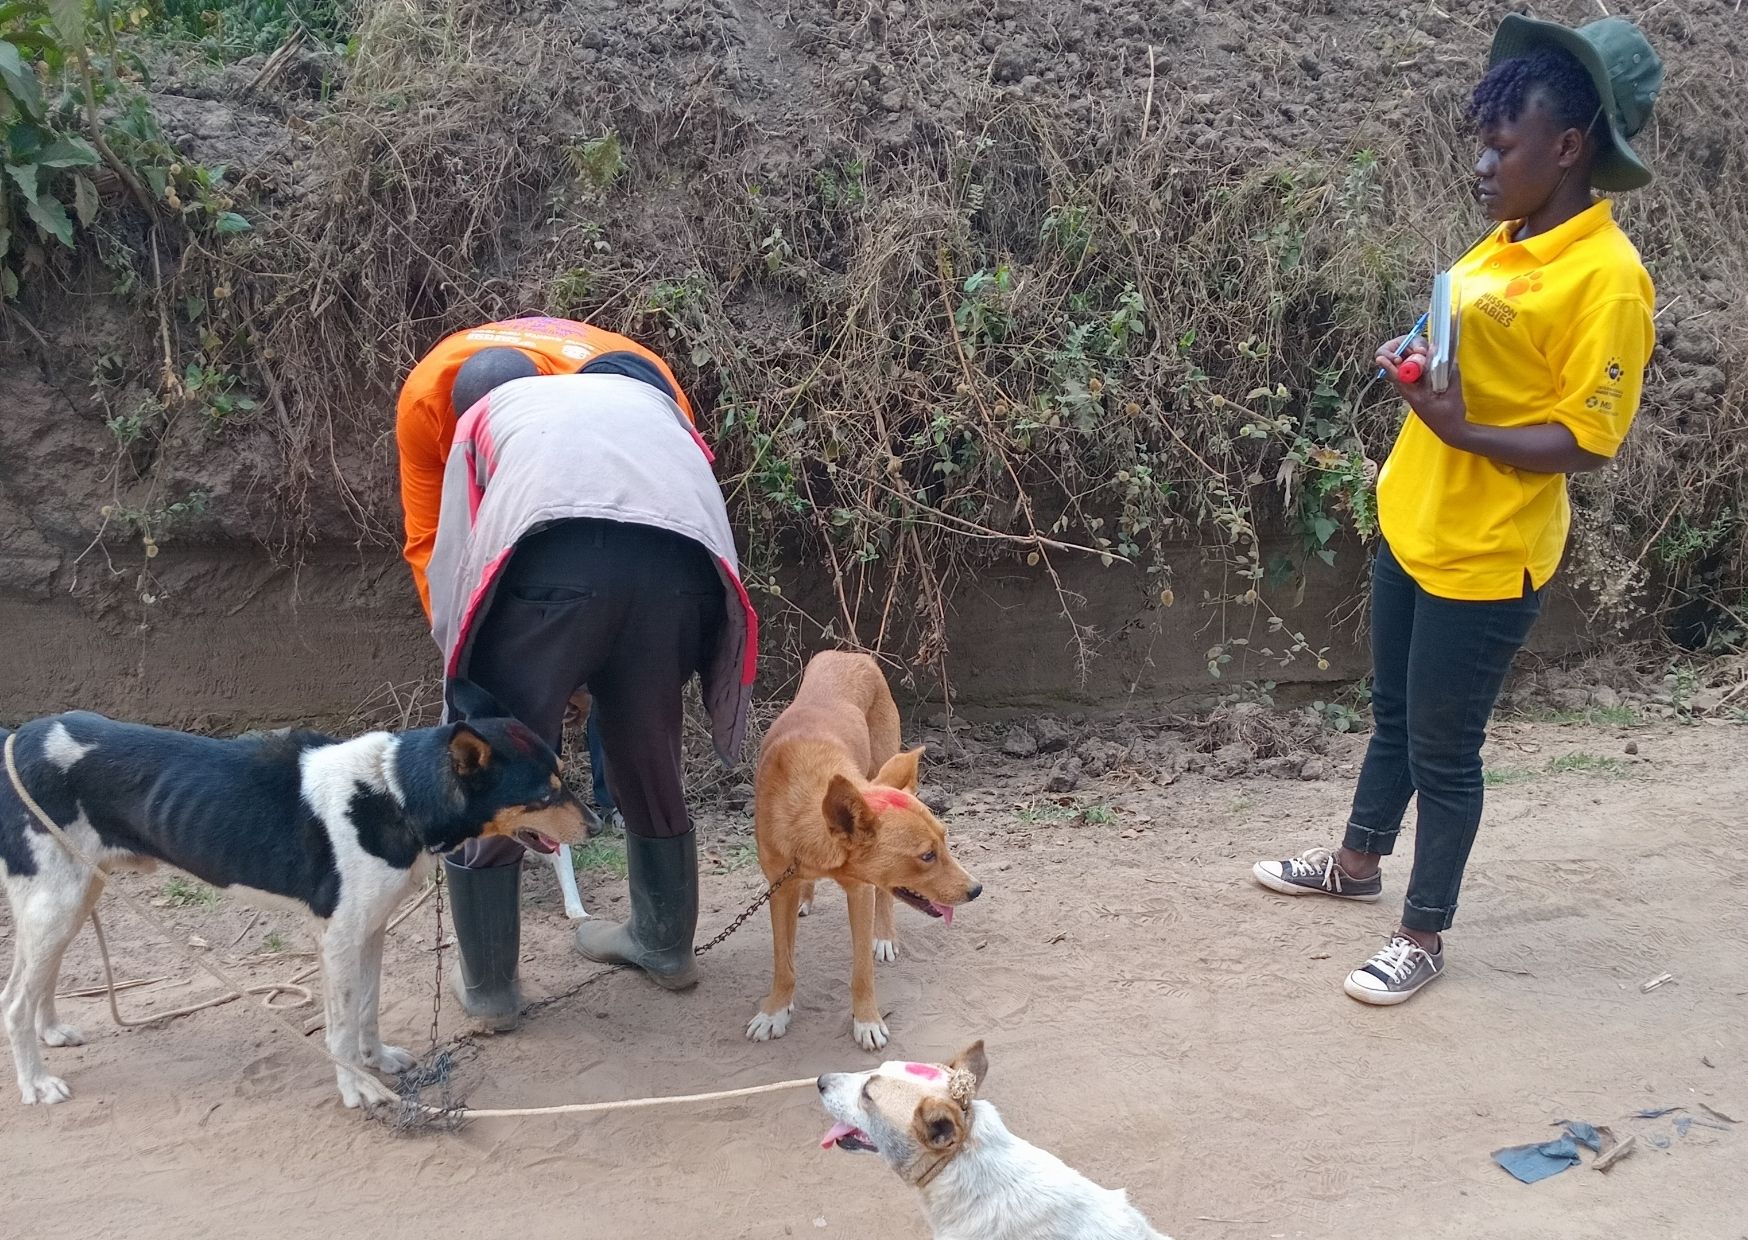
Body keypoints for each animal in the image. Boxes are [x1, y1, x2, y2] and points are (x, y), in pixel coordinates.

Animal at [0, 682, 587, 1105]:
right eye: (543, 794)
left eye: (562, 777)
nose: (599, 823)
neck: (395, 794)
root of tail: (19, 738)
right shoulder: (338, 938)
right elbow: (341, 1028)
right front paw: (357, 1088)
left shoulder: (370, 929)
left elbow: (367, 1009)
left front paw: (376, 1060)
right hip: (57, 902)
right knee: (13, 1001)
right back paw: (36, 1083)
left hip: (75, 896)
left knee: (36, 978)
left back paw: (51, 1032)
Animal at [741, 654, 978, 1049]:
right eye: (927, 855)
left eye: (945, 840)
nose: (977, 889)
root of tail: (849, 654)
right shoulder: (779, 888)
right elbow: (783, 962)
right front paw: (775, 1011)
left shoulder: (860, 890)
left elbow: (862, 971)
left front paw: (867, 1021)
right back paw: (808, 898)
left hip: (884, 760)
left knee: (885, 897)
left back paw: (884, 937)